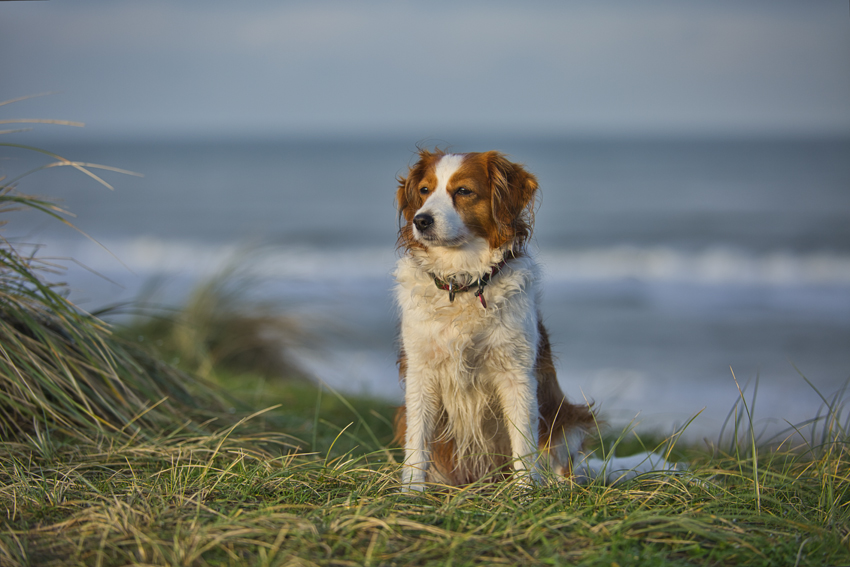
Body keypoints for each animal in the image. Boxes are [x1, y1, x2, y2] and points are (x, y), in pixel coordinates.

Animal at [392, 151, 596, 492]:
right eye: (424, 190)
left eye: (463, 191)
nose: (420, 220)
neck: (462, 284)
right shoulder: (421, 372)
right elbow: (418, 441)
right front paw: (411, 492)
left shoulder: (516, 374)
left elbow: (523, 444)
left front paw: (526, 493)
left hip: (569, 420)